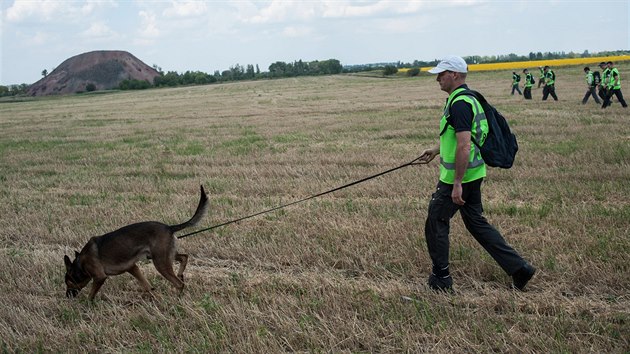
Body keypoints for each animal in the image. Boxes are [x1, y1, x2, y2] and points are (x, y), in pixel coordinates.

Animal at [64, 187, 209, 300]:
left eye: (67, 282)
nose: (67, 296)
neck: (81, 262)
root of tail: (169, 227)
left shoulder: (100, 277)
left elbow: (91, 295)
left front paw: (85, 305)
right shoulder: (132, 268)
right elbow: (146, 286)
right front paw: (154, 297)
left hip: (160, 262)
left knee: (179, 283)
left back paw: (176, 299)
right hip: (164, 255)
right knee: (184, 257)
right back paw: (180, 275)